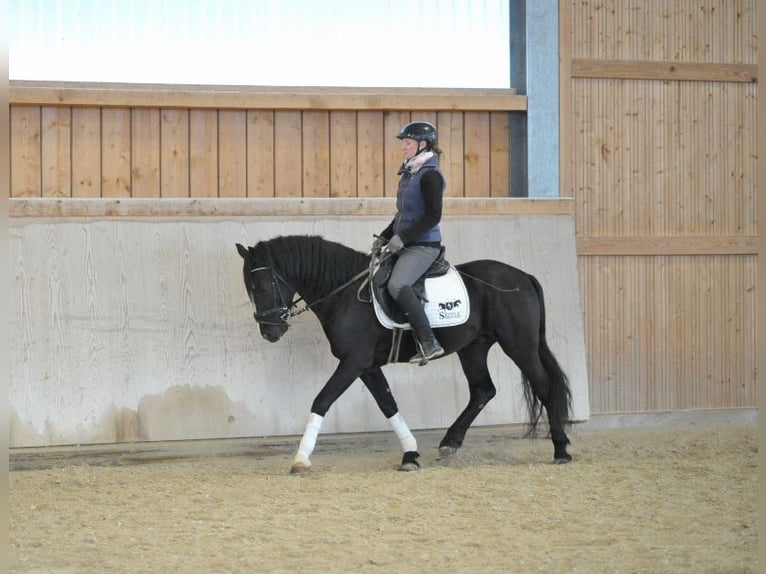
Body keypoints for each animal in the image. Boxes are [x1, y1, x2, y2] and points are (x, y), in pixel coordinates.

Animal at [237, 236, 572, 474]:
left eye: (263, 285)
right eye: (250, 290)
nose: (269, 332)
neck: (344, 294)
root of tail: (523, 276)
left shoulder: (353, 362)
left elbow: (321, 400)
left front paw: (301, 459)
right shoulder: (366, 366)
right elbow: (388, 404)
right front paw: (410, 454)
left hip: (520, 345)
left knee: (544, 387)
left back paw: (561, 450)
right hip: (474, 347)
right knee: (483, 390)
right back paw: (449, 443)